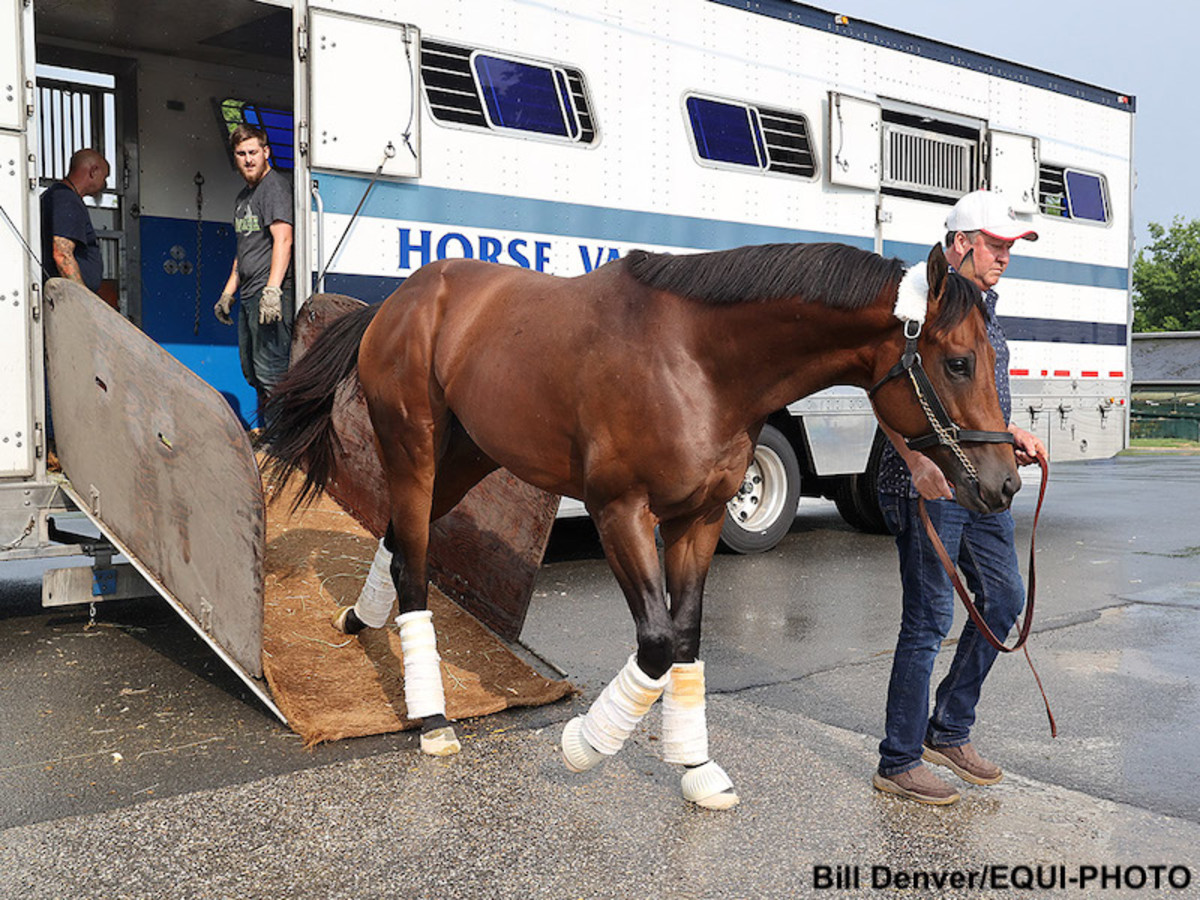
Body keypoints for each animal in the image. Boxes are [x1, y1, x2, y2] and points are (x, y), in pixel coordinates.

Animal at [258, 240, 1017, 811]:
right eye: (958, 361)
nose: (1004, 482)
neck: (697, 360)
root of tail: (403, 298)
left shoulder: (697, 519)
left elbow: (685, 637)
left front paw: (696, 769)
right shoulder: (620, 511)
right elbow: (655, 642)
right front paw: (585, 745)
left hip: (470, 455)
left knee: (397, 538)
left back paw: (357, 620)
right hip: (411, 447)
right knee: (413, 561)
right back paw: (434, 719)